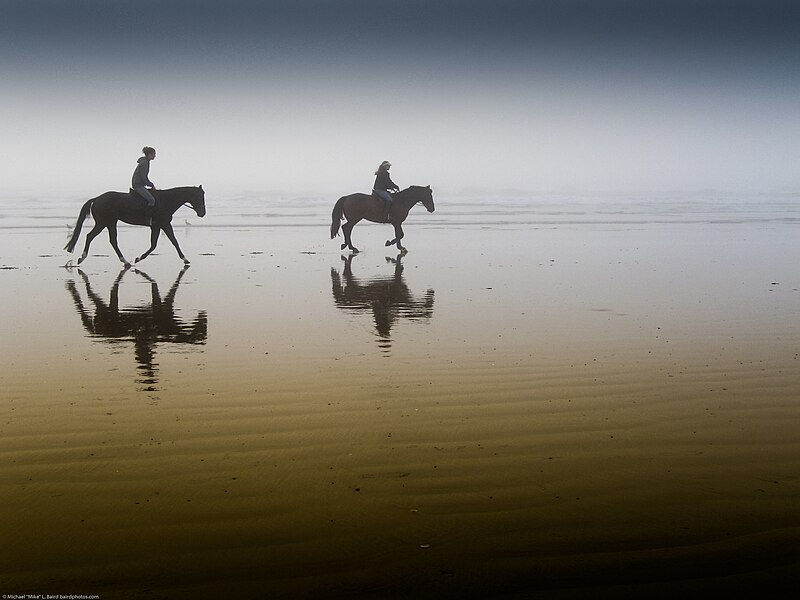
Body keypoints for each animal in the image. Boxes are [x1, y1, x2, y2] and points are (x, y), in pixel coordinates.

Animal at [64, 185, 206, 264]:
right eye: (200, 196)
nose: (202, 213)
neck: (167, 200)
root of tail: (97, 198)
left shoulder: (157, 226)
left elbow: (155, 244)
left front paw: (139, 258)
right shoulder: (164, 224)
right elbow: (173, 241)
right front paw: (185, 259)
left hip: (108, 222)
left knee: (108, 240)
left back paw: (125, 261)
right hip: (105, 222)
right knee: (93, 237)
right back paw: (84, 258)